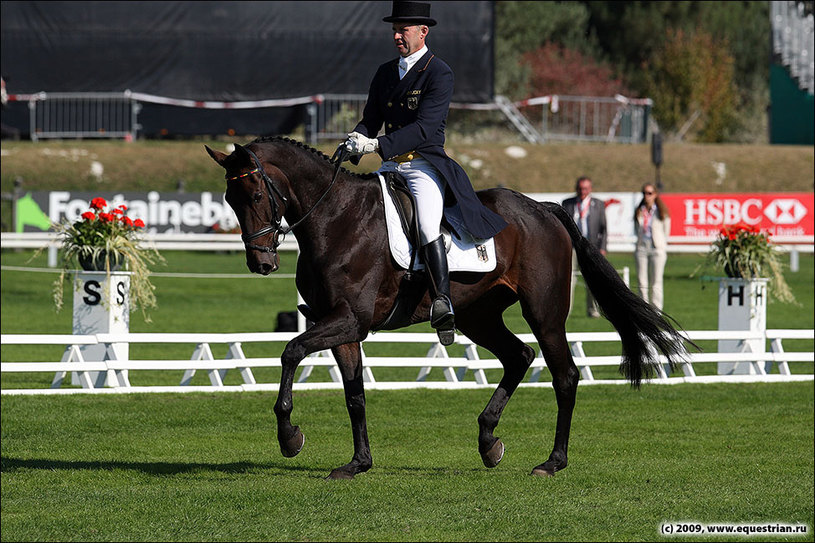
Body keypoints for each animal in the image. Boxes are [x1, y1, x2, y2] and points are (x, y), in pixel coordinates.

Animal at [204, 136, 688, 480]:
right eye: (228, 201)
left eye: (255, 196)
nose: (261, 263)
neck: (335, 219)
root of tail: (542, 207)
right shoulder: (341, 326)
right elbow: (354, 394)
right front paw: (358, 463)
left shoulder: (348, 320)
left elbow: (290, 352)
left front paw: (289, 437)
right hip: (478, 314)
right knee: (518, 356)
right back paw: (489, 441)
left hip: (544, 312)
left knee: (564, 375)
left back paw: (552, 461)